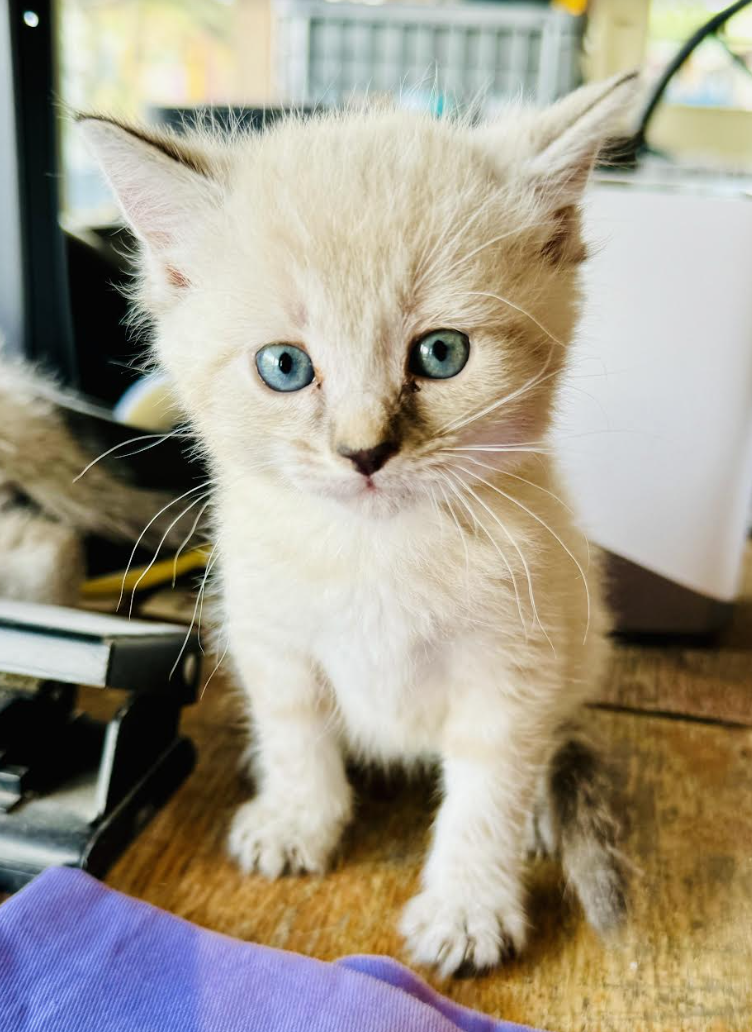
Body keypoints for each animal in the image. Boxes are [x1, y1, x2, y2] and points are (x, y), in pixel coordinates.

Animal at [80, 74, 635, 974]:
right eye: (284, 366)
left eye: (442, 354)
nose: (364, 452)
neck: (375, 551)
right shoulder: (271, 637)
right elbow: (298, 734)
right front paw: (297, 818)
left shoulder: (514, 664)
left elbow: (489, 788)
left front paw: (468, 907)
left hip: (581, 638)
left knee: (555, 735)